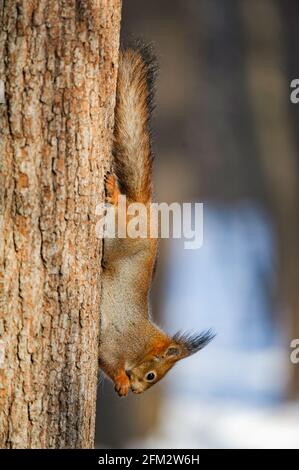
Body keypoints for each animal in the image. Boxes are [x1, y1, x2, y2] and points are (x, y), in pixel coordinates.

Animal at [98, 43, 213, 396]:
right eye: (152, 376)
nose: (138, 391)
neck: (141, 344)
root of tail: (146, 209)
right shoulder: (114, 342)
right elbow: (109, 360)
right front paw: (122, 381)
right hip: (121, 239)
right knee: (119, 212)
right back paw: (114, 193)